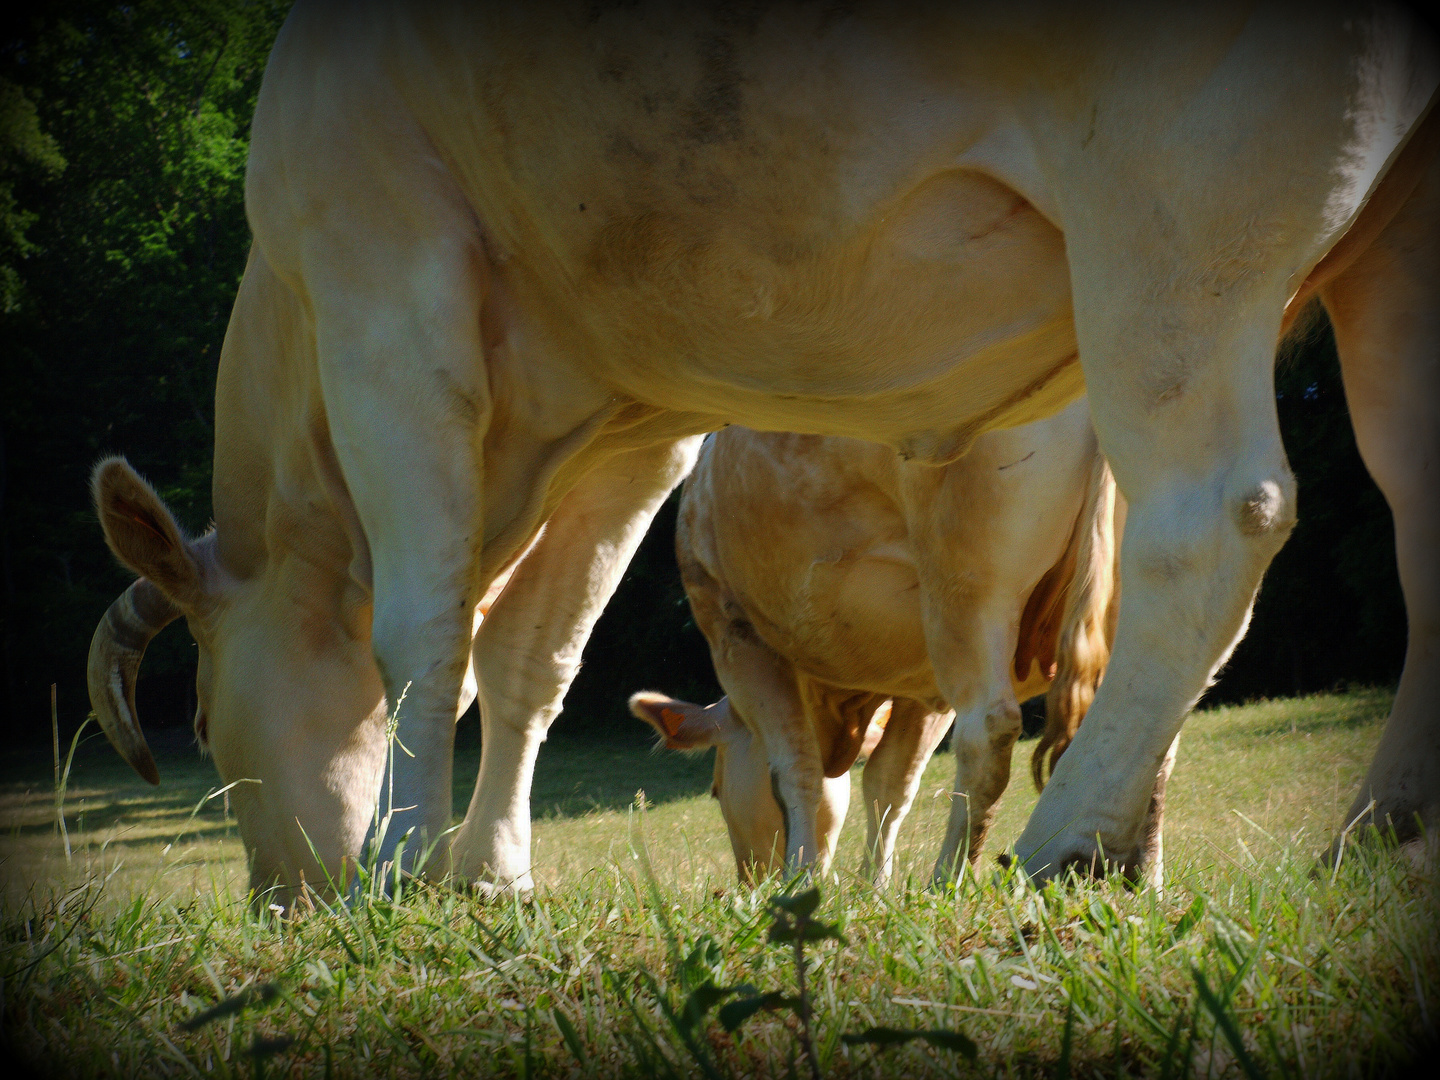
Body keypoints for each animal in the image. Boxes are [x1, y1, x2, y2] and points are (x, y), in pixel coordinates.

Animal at [630, 397, 1146, 887]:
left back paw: (948, 878)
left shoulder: (734, 634)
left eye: (715, 789)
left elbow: (795, 771)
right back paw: (1139, 876)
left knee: (989, 732)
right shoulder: (922, 684)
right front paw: (874, 886)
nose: (749, 880)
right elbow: (890, 783)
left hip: (968, 592)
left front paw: (799, 880)